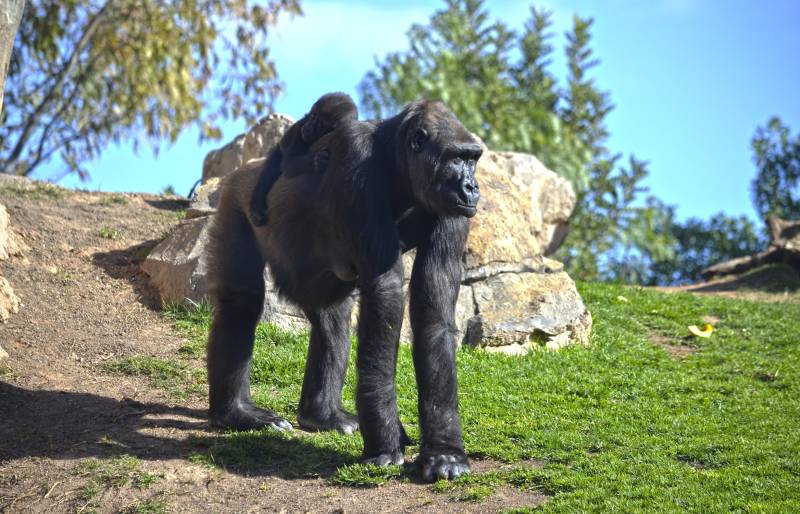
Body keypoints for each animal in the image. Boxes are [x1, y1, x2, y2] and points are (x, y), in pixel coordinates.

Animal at [252, 93, 358, 224]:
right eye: (313, 116)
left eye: (320, 125)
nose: (308, 127)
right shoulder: (300, 127)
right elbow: (288, 162)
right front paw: (316, 161)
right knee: (270, 168)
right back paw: (256, 206)